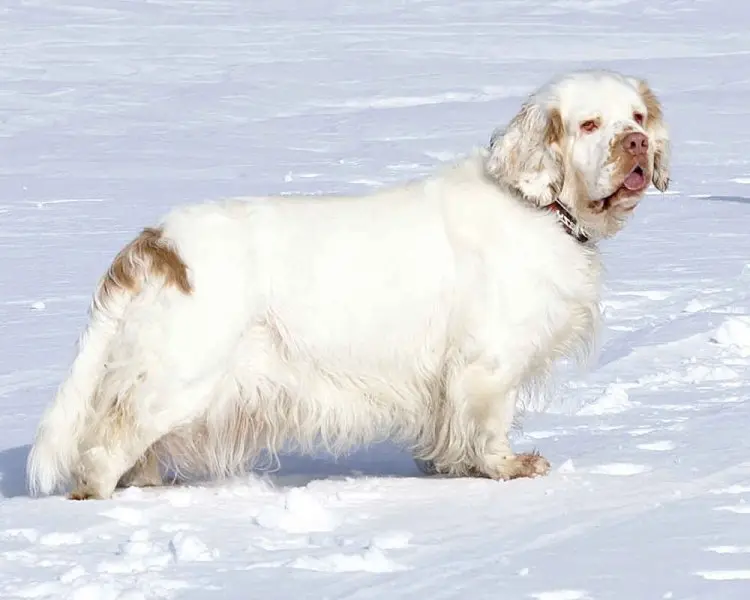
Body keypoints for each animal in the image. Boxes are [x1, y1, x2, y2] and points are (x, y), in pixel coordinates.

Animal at [27, 70, 676, 500]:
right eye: (589, 124)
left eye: (638, 118)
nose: (636, 145)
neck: (539, 206)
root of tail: (155, 244)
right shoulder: (488, 361)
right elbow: (490, 424)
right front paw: (509, 468)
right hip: (180, 378)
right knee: (100, 455)